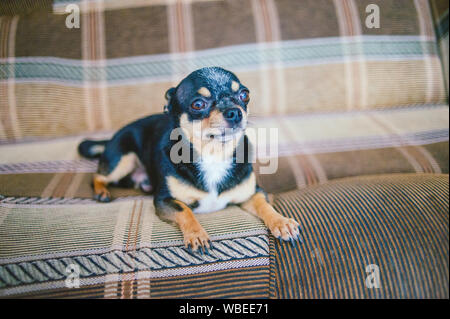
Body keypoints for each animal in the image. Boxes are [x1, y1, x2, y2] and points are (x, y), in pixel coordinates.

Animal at [79, 67, 300, 252]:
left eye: (244, 95)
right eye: (198, 104)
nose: (235, 112)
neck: (214, 154)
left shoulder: (253, 193)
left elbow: (265, 205)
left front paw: (281, 222)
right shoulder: (164, 200)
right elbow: (185, 209)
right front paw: (197, 234)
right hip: (123, 159)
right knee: (97, 176)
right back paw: (102, 192)